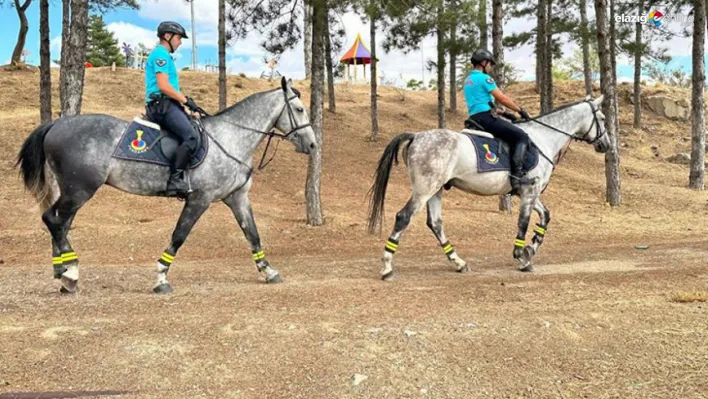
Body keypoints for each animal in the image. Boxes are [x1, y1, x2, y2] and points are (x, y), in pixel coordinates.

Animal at [16, 77, 316, 294]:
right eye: (299, 109)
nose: (313, 145)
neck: (230, 138)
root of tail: (55, 125)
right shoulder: (200, 199)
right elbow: (179, 236)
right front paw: (161, 278)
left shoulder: (237, 197)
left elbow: (252, 234)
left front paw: (268, 270)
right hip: (79, 189)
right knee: (53, 219)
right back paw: (71, 273)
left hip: (75, 191)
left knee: (60, 223)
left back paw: (64, 272)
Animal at [368, 95, 612, 280]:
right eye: (601, 117)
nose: (606, 145)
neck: (543, 138)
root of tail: (417, 136)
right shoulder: (529, 192)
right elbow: (523, 222)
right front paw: (522, 256)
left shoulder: (528, 193)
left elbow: (545, 217)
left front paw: (530, 249)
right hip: (425, 189)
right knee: (403, 217)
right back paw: (387, 267)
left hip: (435, 190)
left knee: (435, 224)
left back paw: (459, 262)